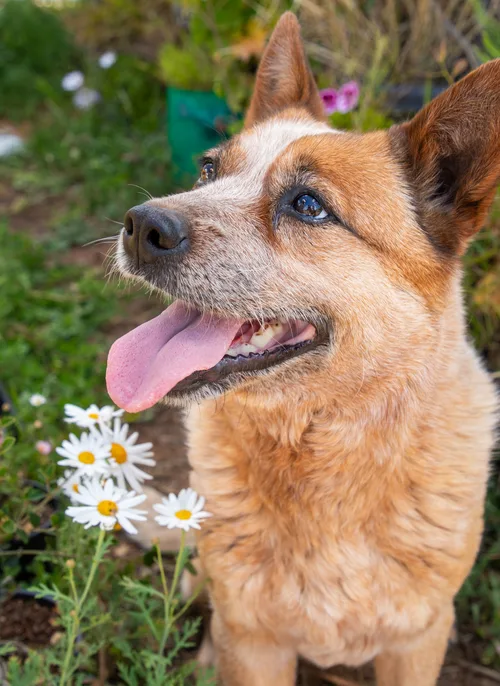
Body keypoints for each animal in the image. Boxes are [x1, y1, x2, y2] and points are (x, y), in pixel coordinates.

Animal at [106, 13, 499, 685]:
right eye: (208, 170)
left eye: (308, 205)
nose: (141, 226)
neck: (321, 459)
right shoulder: (254, 641)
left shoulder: (416, 640)